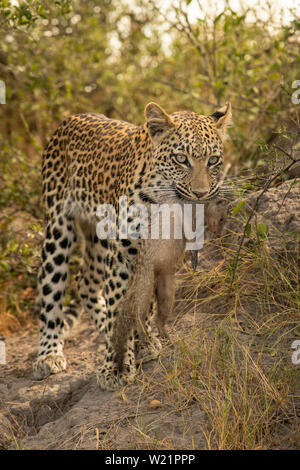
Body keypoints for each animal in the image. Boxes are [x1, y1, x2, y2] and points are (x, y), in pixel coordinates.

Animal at [32, 102, 231, 390]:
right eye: (181, 159)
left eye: (213, 160)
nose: (201, 194)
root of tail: (71, 118)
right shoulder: (122, 252)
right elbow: (119, 305)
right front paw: (116, 366)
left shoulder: (152, 255)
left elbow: (142, 304)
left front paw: (142, 344)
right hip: (58, 226)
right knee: (51, 285)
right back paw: (48, 355)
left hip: (98, 237)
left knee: (86, 283)